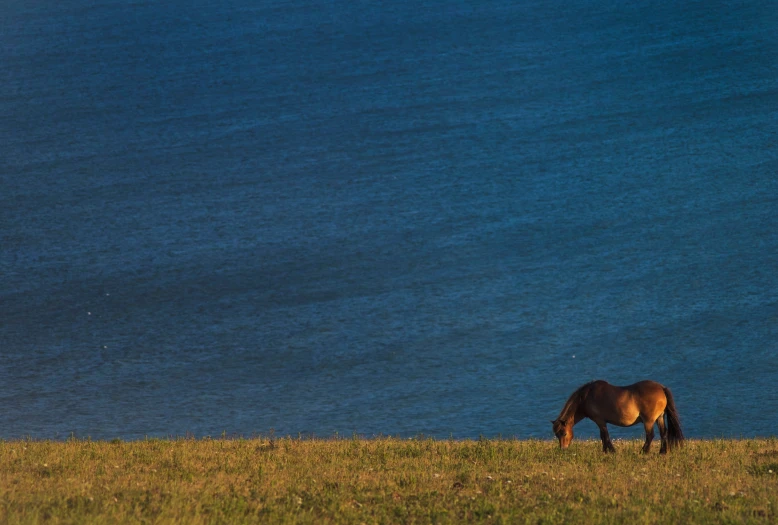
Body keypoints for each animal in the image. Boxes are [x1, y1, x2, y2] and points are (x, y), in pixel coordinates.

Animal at [548, 378, 684, 452]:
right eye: (557, 435)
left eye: (564, 433)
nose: (563, 449)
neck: (586, 397)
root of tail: (661, 388)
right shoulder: (600, 422)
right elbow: (603, 437)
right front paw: (604, 451)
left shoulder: (600, 420)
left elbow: (605, 436)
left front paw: (611, 451)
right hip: (659, 418)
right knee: (663, 433)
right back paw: (662, 452)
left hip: (649, 420)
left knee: (650, 435)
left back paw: (643, 452)